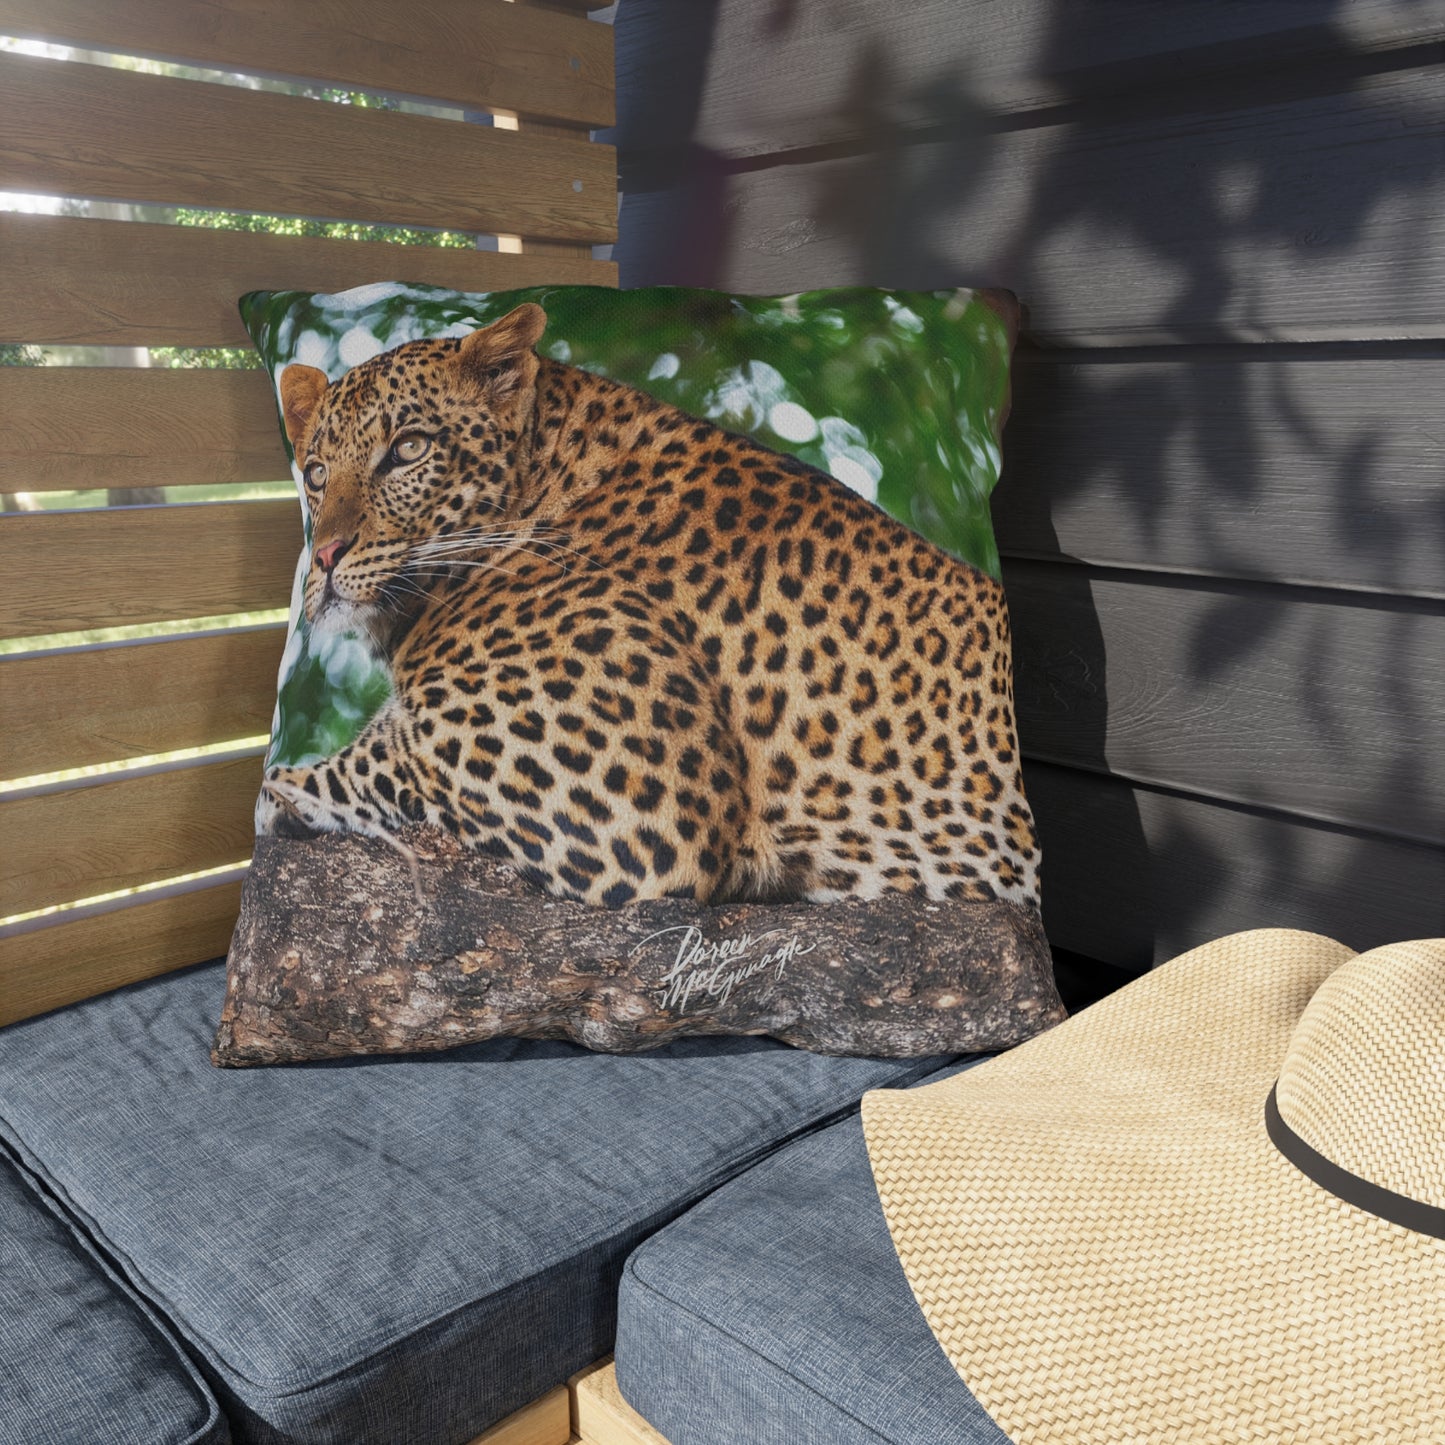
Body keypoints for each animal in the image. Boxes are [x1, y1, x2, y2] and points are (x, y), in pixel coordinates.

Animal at [262, 302, 1042, 914]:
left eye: (409, 449)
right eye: (315, 473)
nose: (323, 556)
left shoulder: (635, 809)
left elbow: (354, 765)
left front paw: (283, 793)